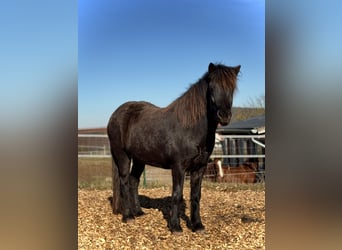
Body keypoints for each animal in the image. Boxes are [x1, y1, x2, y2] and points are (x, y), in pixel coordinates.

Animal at [108, 62, 239, 232]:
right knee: (123, 181)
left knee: (133, 181)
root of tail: (115, 115)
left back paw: (138, 212)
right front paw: (175, 226)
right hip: (122, 155)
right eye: (212, 87)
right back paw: (128, 216)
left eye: (232, 88)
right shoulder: (178, 167)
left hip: (139, 159)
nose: (224, 116)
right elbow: (176, 194)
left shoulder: (200, 167)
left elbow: (195, 195)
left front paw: (197, 225)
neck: (190, 129)